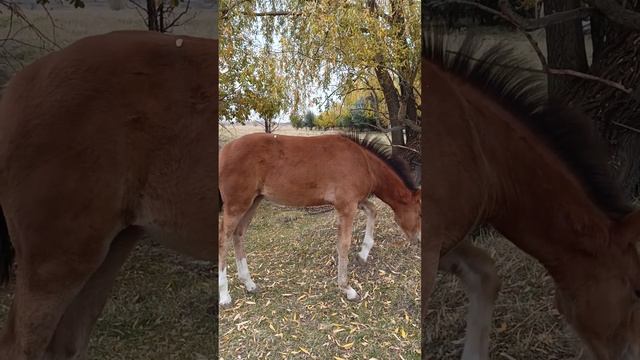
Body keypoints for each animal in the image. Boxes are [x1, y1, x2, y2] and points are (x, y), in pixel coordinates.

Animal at [218, 132, 422, 306]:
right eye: (420, 213)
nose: (418, 239)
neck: (364, 163)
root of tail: (224, 151)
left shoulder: (354, 201)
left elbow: (373, 211)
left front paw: (363, 254)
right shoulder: (346, 206)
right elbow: (344, 244)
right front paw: (347, 288)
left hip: (253, 201)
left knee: (238, 234)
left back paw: (249, 283)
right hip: (237, 204)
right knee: (224, 239)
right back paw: (225, 295)